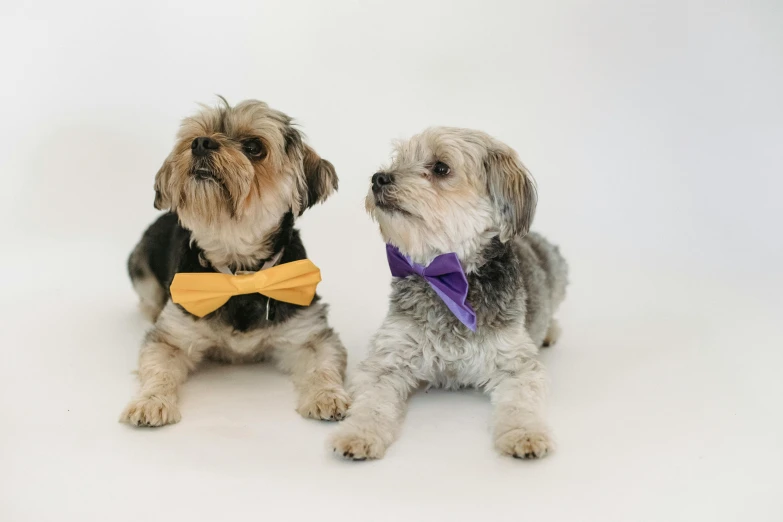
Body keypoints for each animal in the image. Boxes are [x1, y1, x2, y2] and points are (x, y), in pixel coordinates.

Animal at [330, 127, 568, 460]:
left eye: (441, 168)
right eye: (399, 159)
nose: (379, 177)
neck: (447, 278)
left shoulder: (517, 364)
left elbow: (520, 404)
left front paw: (525, 434)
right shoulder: (387, 359)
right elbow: (371, 404)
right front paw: (357, 434)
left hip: (558, 270)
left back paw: (549, 331)